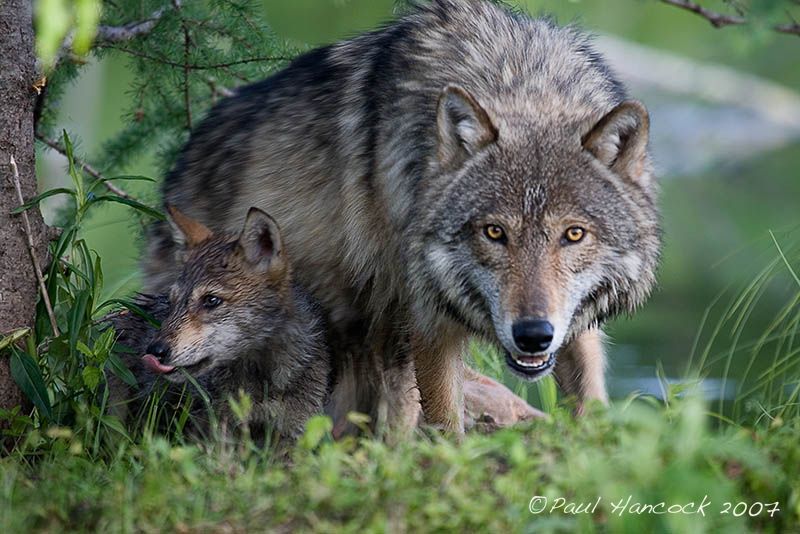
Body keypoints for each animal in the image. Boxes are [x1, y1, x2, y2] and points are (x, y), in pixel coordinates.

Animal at [111, 206, 330, 444]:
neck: (262, 378)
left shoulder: (295, 432)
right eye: (172, 301)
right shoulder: (218, 434)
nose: (155, 351)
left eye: (211, 300)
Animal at [141, 0, 660, 436]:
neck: (520, 83)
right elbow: (448, 428)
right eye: (494, 232)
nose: (532, 335)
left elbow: (591, 404)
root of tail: (177, 168)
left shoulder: (574, 325)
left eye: (574, 234)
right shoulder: (429, 320)